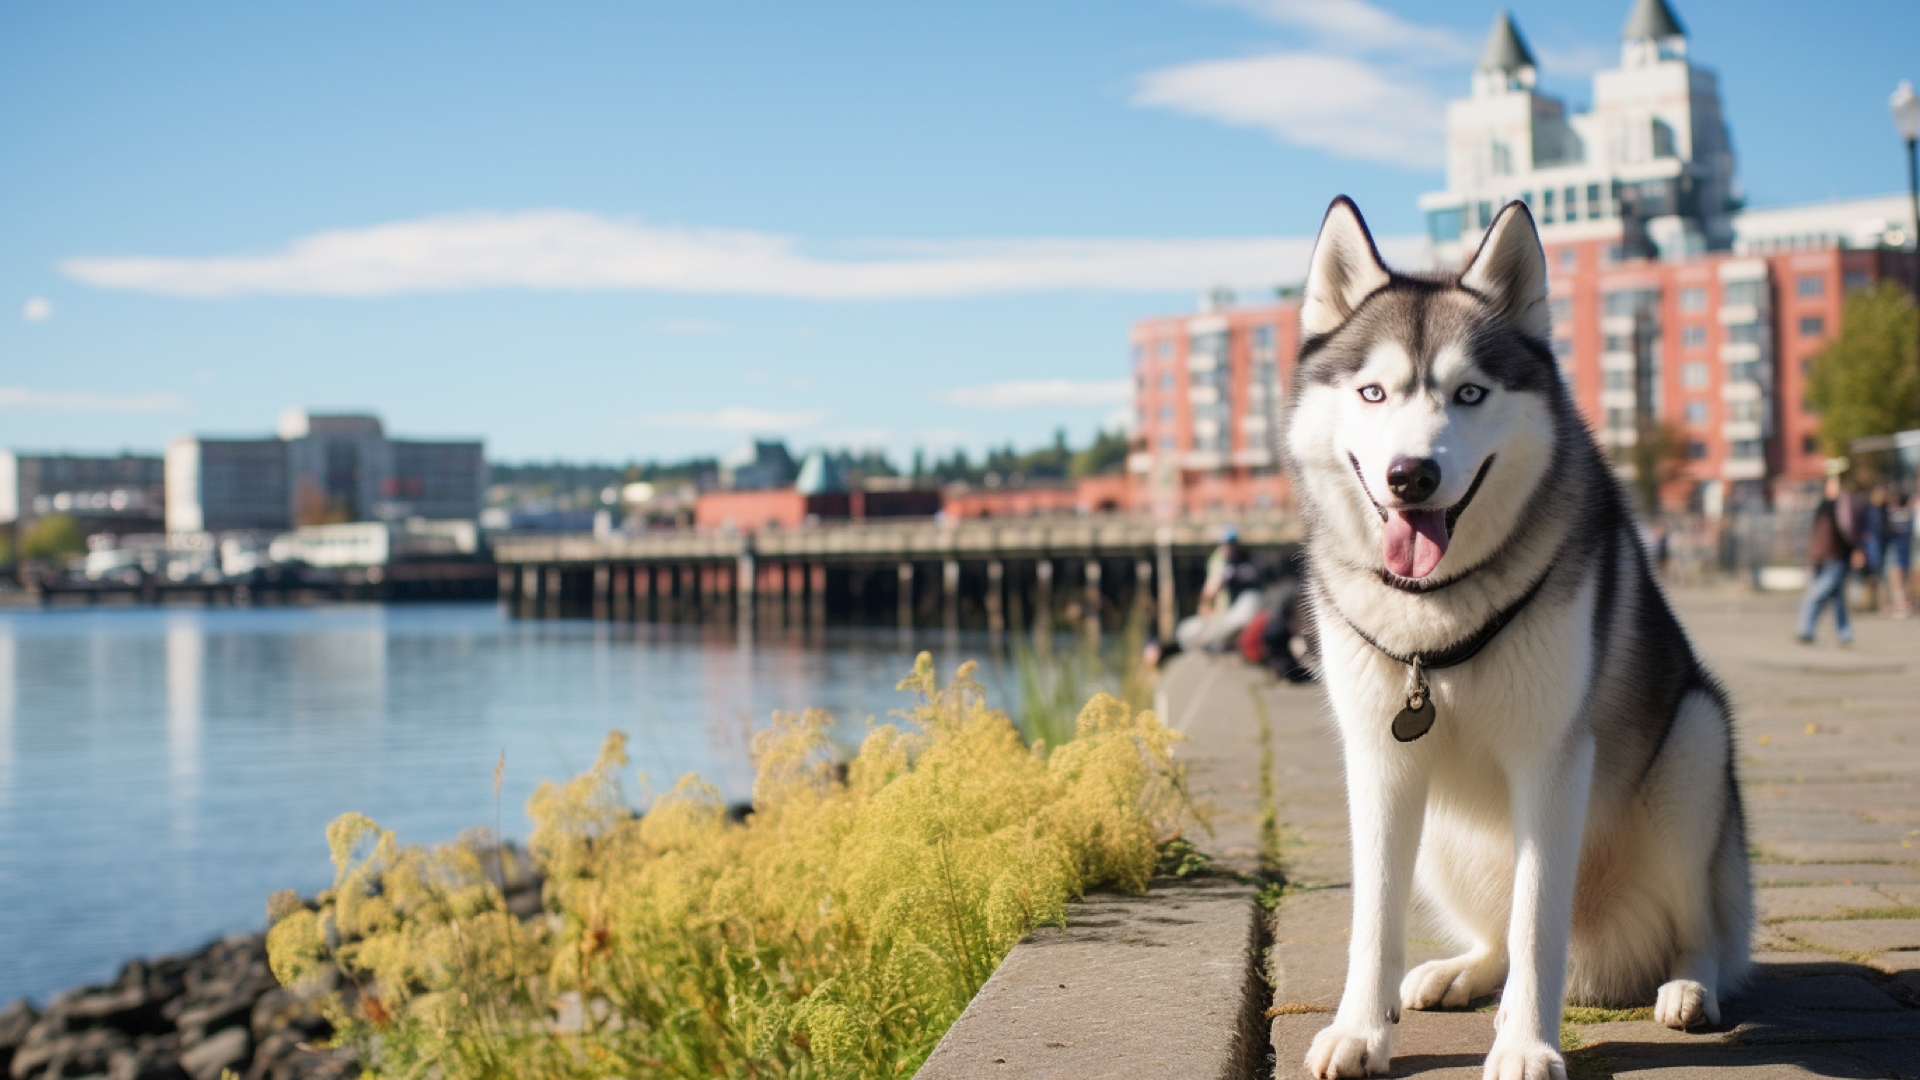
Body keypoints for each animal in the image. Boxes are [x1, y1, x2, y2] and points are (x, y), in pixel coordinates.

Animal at [1290, 197, 1758, 1068]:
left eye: (1470, 393)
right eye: (1372, 392)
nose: (1411, 476)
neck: (1438, 611)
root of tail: (1606, 949)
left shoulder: (1554, 758)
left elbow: (1538, 921)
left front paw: (1527, 1046)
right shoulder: (1380, 761)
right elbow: (1375, 919)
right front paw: (1359, 1030)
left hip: (1694, 749)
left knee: (1698, 927)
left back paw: (1688, 986)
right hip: (1445, 833)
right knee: (1497, 937)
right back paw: (1462, 972)